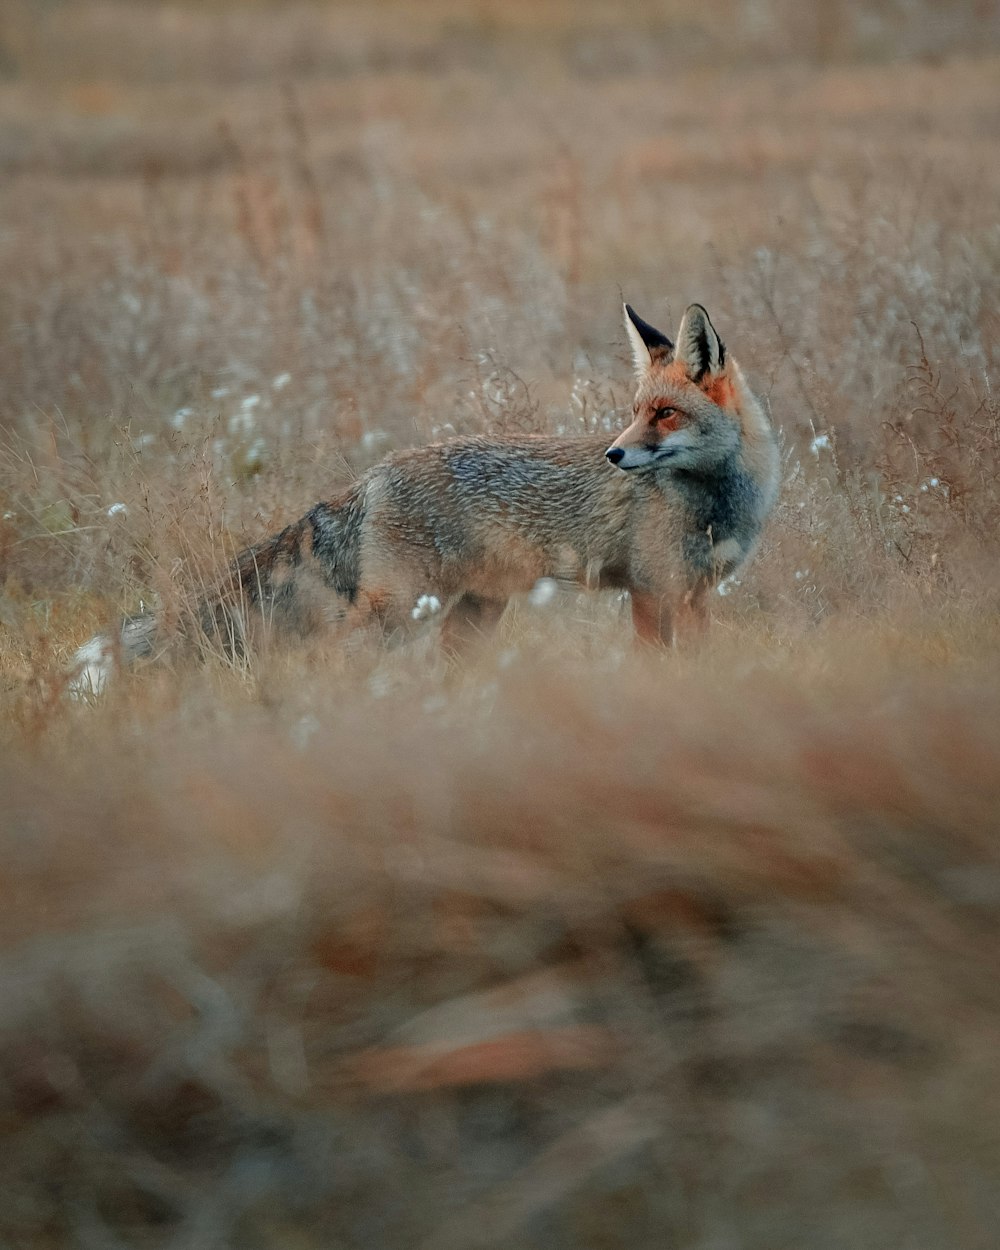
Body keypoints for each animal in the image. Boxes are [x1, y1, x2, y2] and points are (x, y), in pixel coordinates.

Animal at [68, 302, 780, 695]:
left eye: (663, 414)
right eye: (635, 413)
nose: (614, 455)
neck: (716, 500)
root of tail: (371, 474)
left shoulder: (696, 594)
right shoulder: (653, 590)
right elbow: (656, 668)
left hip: (470, 614)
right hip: (400, 613)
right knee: (334, 655)